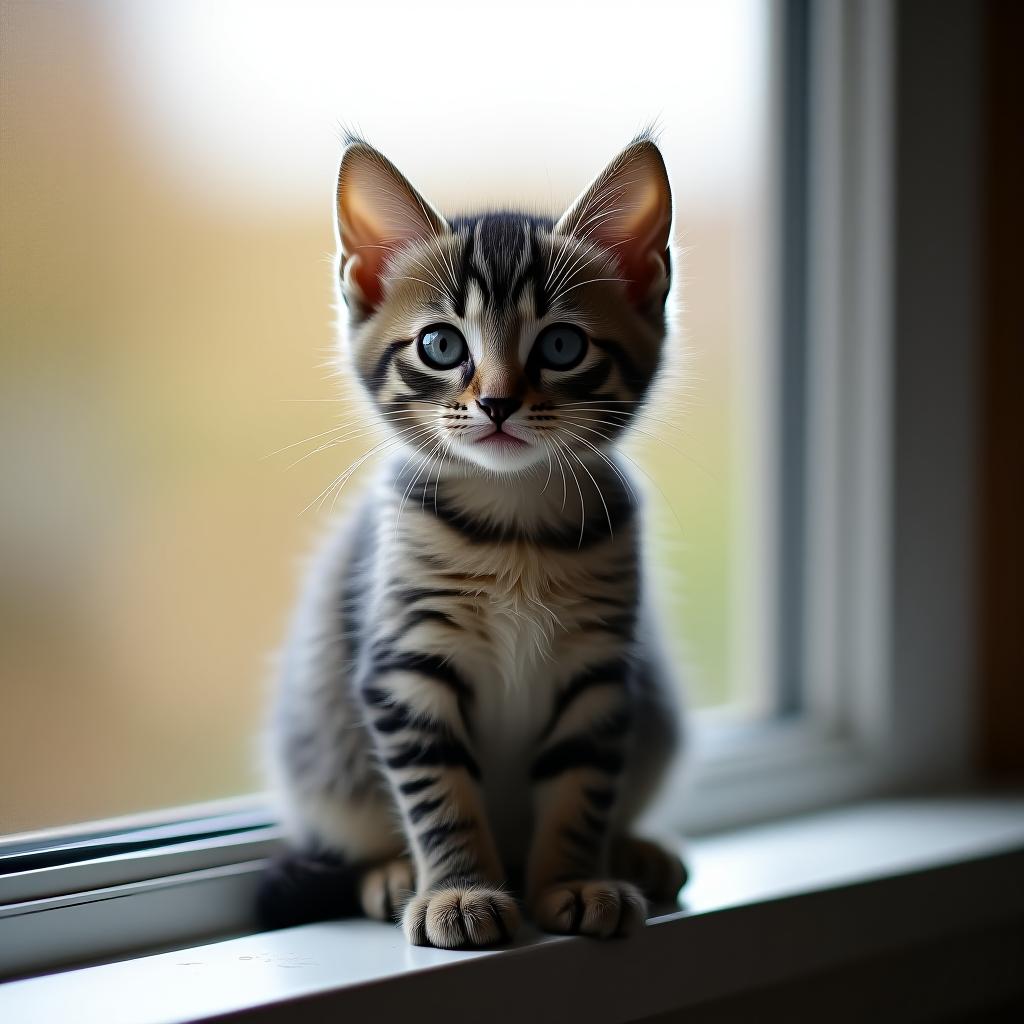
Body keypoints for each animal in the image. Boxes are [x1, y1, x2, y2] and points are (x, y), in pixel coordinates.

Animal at [260, 132, 688, 946]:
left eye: (561, 345)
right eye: (439, 344)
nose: (495, 401)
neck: (512, 525)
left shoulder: (598, 670)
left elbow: (581, 790)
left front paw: (572, 879)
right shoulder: (406, 662)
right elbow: (439, 794)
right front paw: (458, 890)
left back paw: (634, 853)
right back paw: (392, 874)